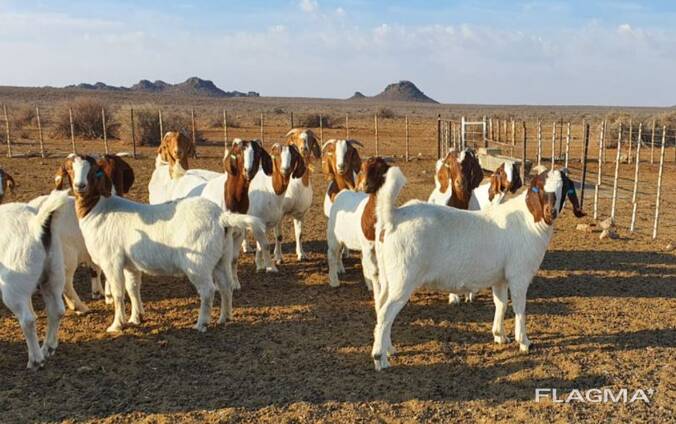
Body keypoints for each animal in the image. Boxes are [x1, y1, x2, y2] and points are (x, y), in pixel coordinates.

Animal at [0, 189, 68, 369]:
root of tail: (35, 225)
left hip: (14, 283)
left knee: (28, 319)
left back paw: (36, 360)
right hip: (53, 274)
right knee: (56, 310)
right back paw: (47, 348)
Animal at [62, 154, 244, 333]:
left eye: (93, 171)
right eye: (70, 169)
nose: (80, 186)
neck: (97, 209)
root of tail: (221, 217)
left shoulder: (112, 262)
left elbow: (118, 293)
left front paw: (116, 325)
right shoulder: (130, 264)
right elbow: (133, 288)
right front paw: (136, 318)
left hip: (198, 263)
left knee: (208, 290)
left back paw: (201, 324)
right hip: (221, 257)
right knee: (225, 286)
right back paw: (225, 318)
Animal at [277, 129, 322, 261]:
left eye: (310, 138)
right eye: (295, 137)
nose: (304, 148)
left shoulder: (300, 213)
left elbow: (299, 234)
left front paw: (301, 254)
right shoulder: (279, 213)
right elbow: (279, 236)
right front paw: (279, 258)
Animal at [369, 165, 585, 370]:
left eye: (564, 187)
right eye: (538, 188)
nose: (550, 212)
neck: (529, 221)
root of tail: (394, 217)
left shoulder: (500, 278)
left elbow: (501, 304)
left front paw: (499, 335)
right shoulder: (519, 275)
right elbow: (519, 308)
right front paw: (524, 342)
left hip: (389, 276)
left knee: (381, 308)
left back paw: (389, 349)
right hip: (404, 278)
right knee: (387, 312)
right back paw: (380, 358)